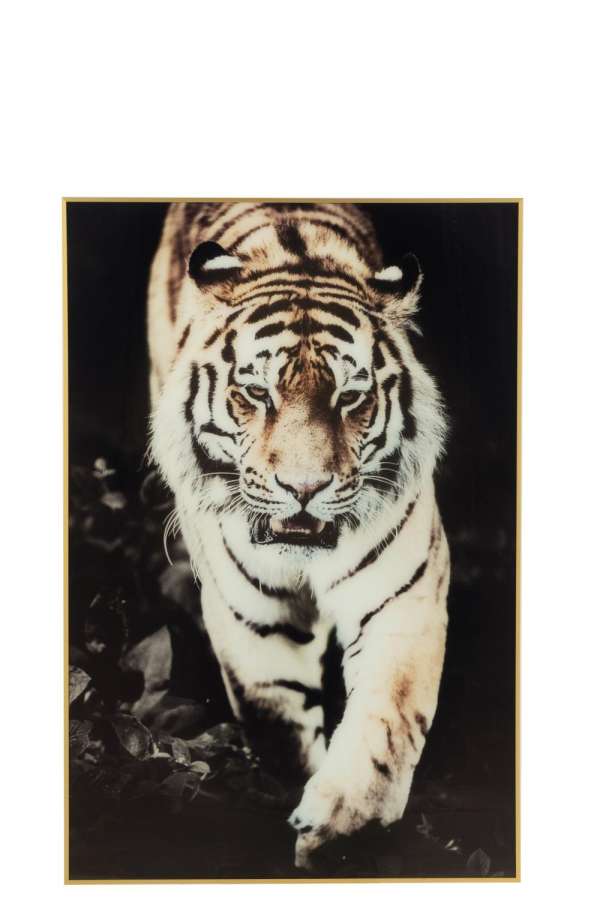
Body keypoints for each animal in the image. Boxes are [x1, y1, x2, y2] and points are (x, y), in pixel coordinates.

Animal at [148, 201, 450, 869]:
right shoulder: (255, 621)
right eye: (257, 393)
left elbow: (387, 718)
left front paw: (346, 827)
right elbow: (279, 731)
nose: (304, 487)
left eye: (352, 396)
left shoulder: (404, 597)